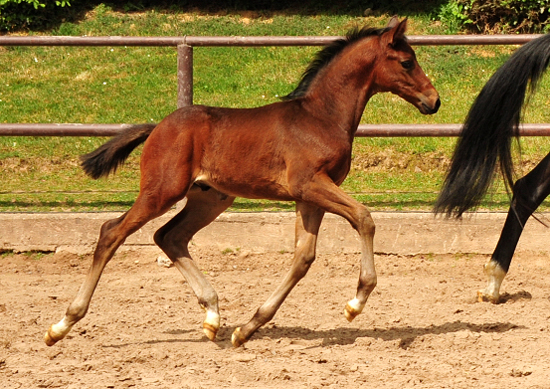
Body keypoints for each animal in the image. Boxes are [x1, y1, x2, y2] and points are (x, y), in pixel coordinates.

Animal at [44, 16, 440, 348]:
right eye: (407, 62)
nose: (434, 101)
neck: (321, 117)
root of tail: (157, 127)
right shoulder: (310, 185)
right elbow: (364, 218)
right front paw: (355, 302)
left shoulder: (308, 197)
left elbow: (303, 257)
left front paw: (247, 329)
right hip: (162, 191)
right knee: (112, 232)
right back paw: (61, 325)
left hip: (210, 199)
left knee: (169, 236)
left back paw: (212, 315)